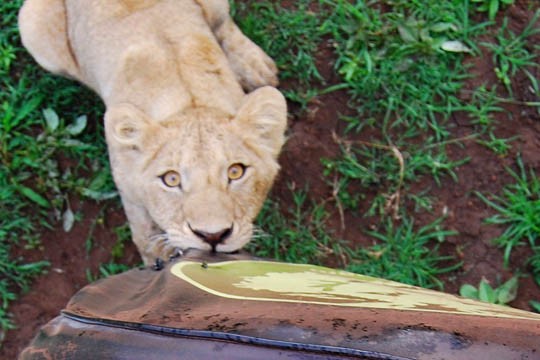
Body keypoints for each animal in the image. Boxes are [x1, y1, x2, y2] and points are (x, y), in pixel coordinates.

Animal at [17, 0, 286, 264]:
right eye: (171, 179)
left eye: (235, 172)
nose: (213, 235)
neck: (191, 103)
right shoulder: (128, 188)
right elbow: (146, 235)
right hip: (32, 25)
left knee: (222, 24)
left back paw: (255, 67)